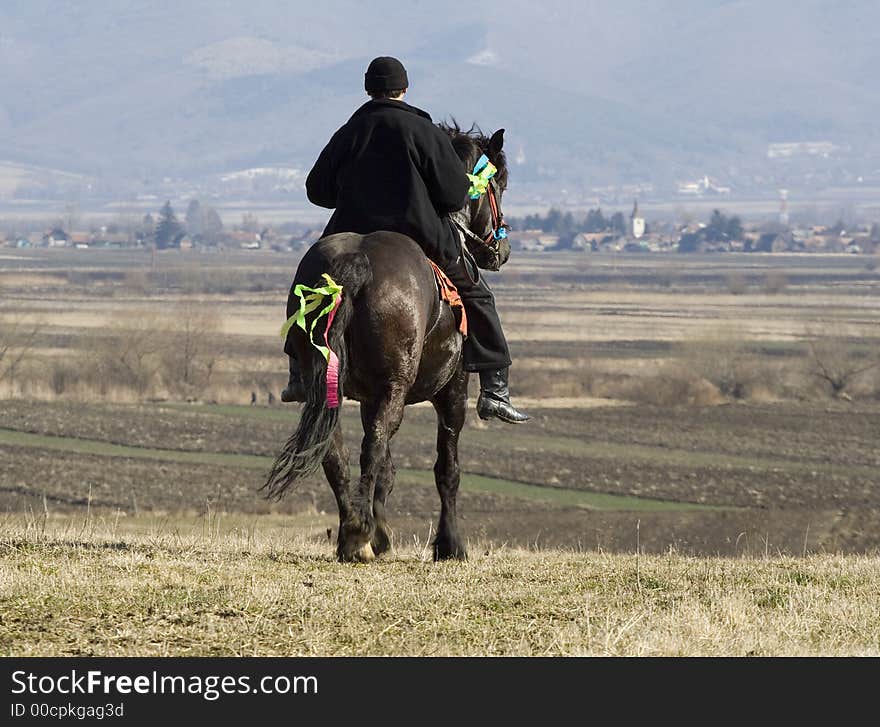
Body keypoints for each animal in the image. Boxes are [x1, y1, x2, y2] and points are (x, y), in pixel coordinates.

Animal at [262, 123, 508, 564]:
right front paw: (450, 545)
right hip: (396, 385)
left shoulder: (366, 394)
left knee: (335, 450)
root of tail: (354, 263)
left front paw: (382, 530)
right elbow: (447, 469)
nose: (502, 250)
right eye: (500, 184)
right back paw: (359, 536)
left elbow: (388, 471)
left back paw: (354, 531)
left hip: (324, 383)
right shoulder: (453, 389)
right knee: (373, 446)